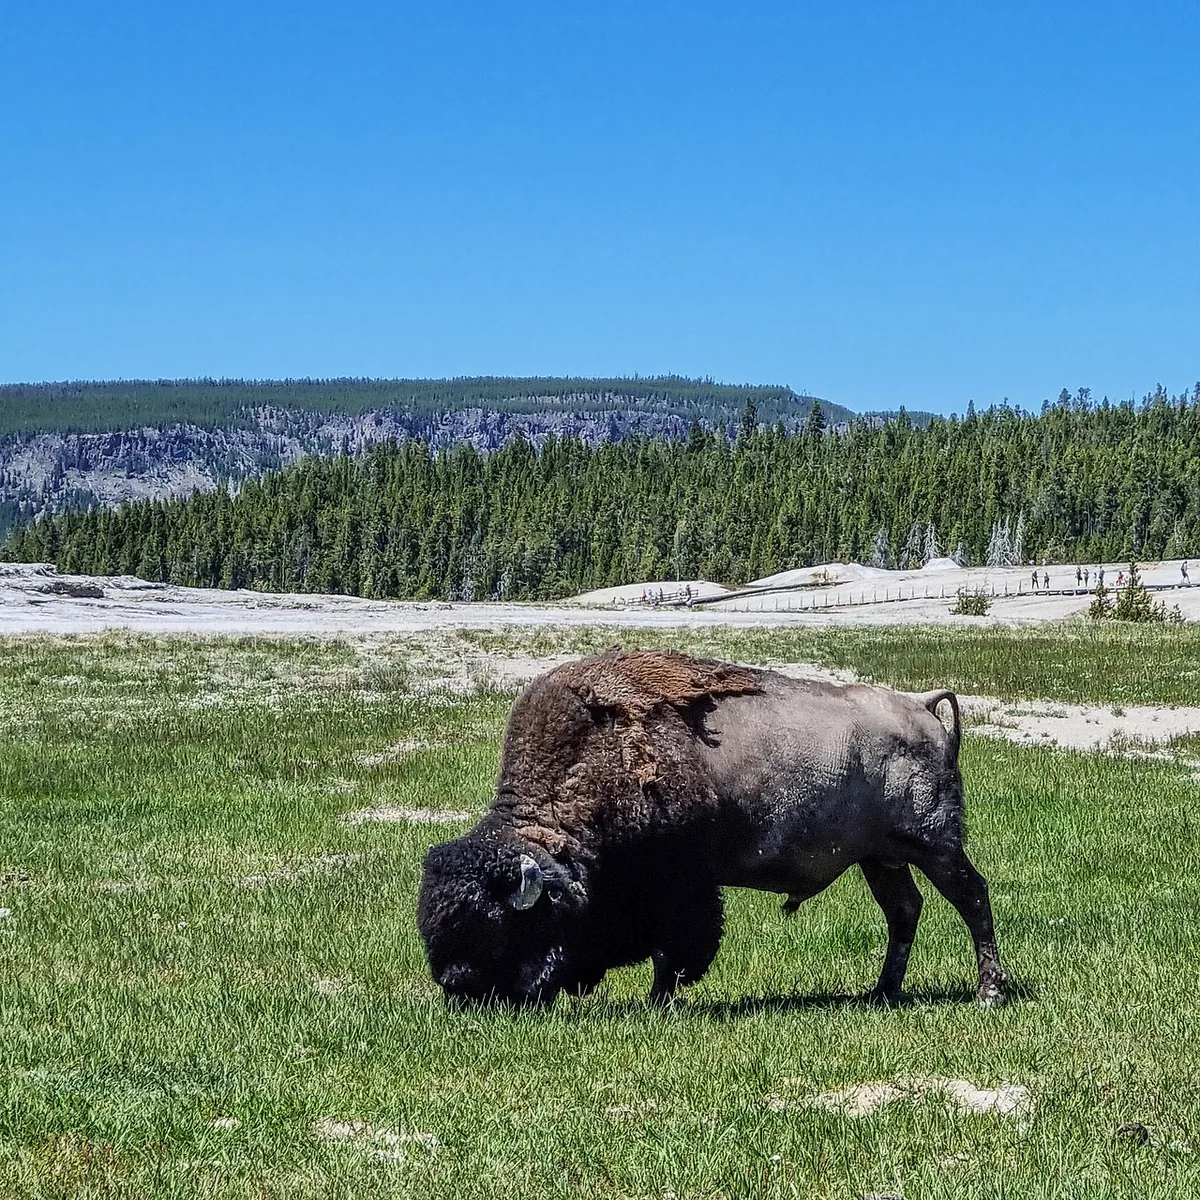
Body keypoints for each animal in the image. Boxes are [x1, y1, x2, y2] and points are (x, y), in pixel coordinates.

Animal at [417, 650, 1007, 1009]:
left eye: (496, 925)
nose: (456, 987)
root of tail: (922, 708)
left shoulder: (682, 889)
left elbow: (674, 949)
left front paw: (659, 1003)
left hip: (935, 844)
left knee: (971, 896)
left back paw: (989, 993)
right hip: (880, 858)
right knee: (904, 910)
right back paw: (882, 993)